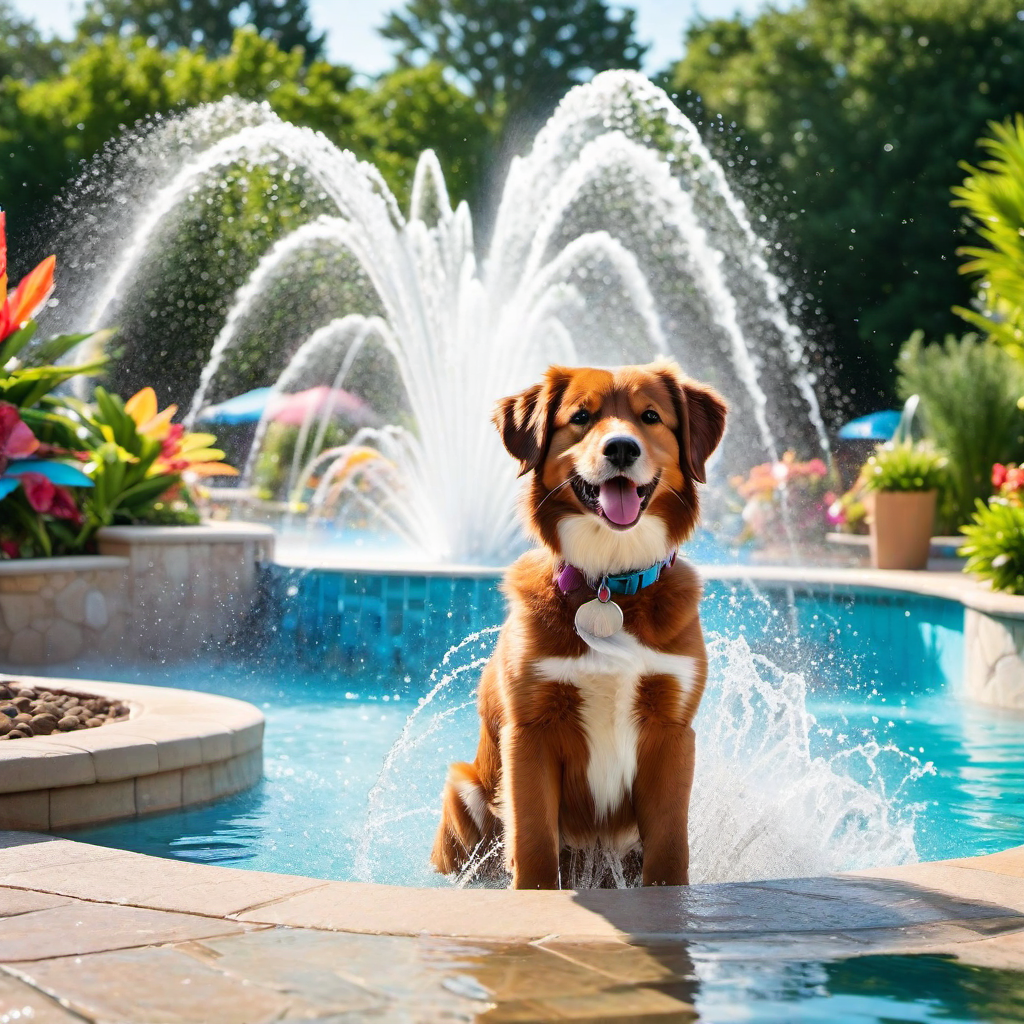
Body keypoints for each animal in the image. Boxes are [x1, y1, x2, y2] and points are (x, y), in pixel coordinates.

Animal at [432, 360, 729, 888]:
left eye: (650, 416)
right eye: (581, 417)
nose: (621, 448)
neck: (609, 583)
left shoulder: (672, 730)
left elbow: (670, 848)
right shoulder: (529, 730)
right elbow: (533, 844)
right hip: (464, 787)